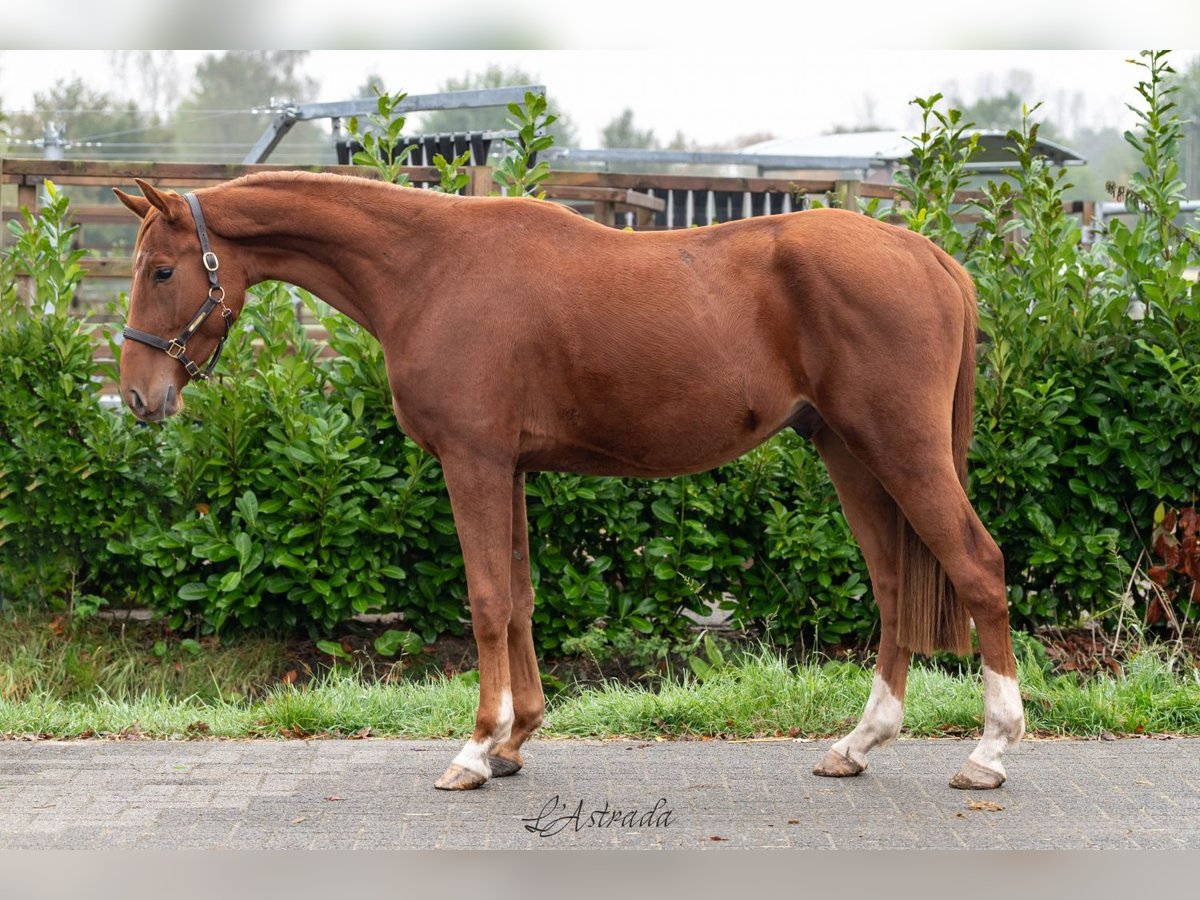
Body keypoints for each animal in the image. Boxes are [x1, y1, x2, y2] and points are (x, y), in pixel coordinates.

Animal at [117, 172, 1027, 792]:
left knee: (977, 567)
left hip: (900, 449)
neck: (429, 270)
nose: (138, 396)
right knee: (894, 584)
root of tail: (928, 254)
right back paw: (859, 743)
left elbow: (487, 601)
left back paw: (989, 750)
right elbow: (519, 598)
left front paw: (475, 749)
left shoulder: (473, 462)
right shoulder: (510, 468)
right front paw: (516, 741)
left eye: (161, 271)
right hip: (849, 452)